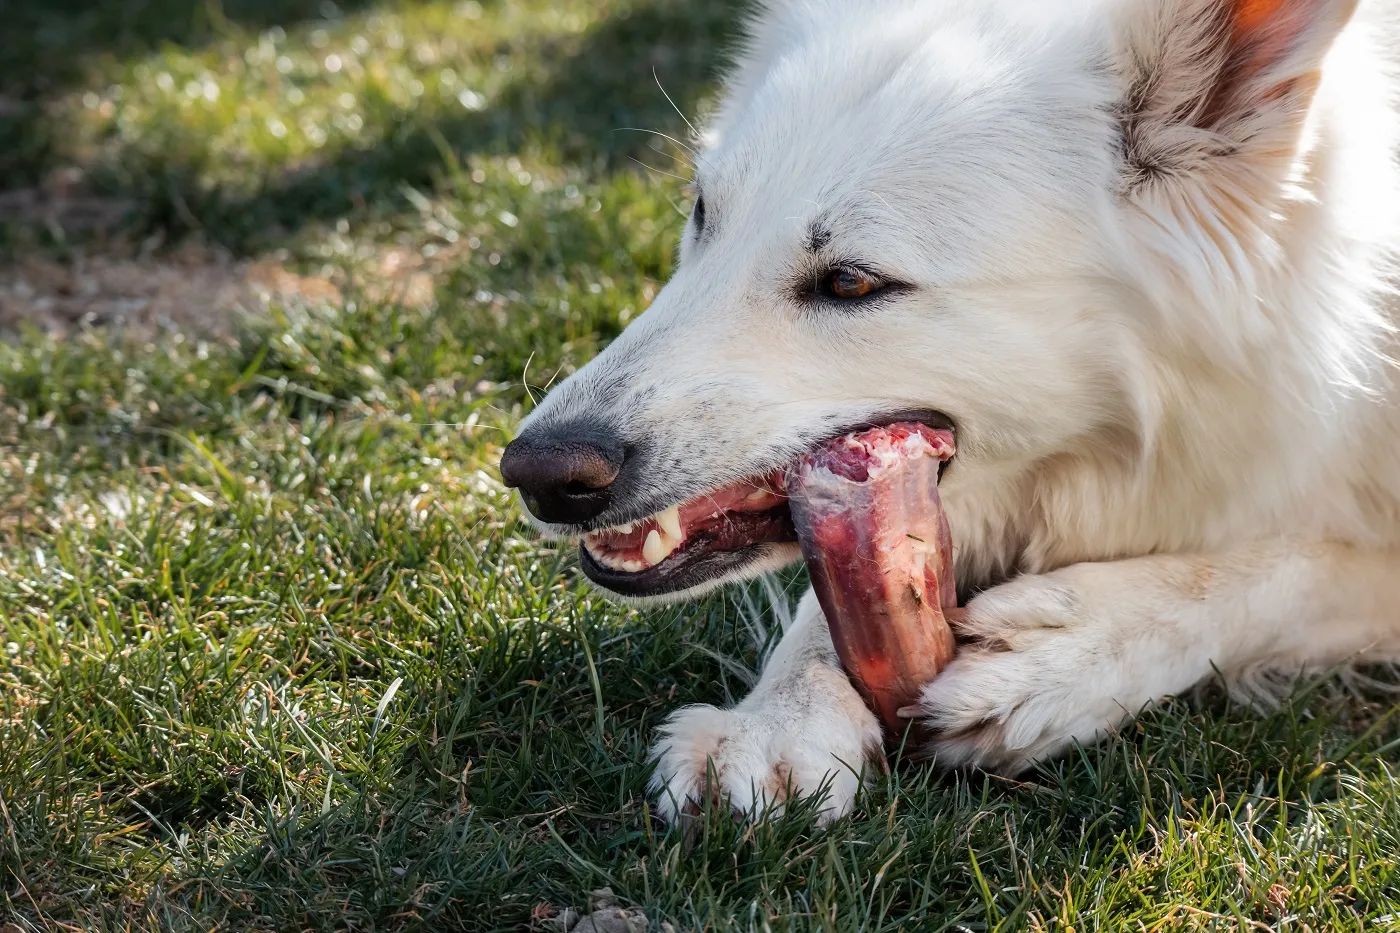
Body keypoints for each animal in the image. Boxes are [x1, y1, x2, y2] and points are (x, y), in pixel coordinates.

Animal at [501, 0, 1400, 818]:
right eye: (702, 216)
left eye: (851, 282)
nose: (532, 473)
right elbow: (832, 601)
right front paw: (776, 718)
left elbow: (1287, 571)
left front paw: (1072, 651)